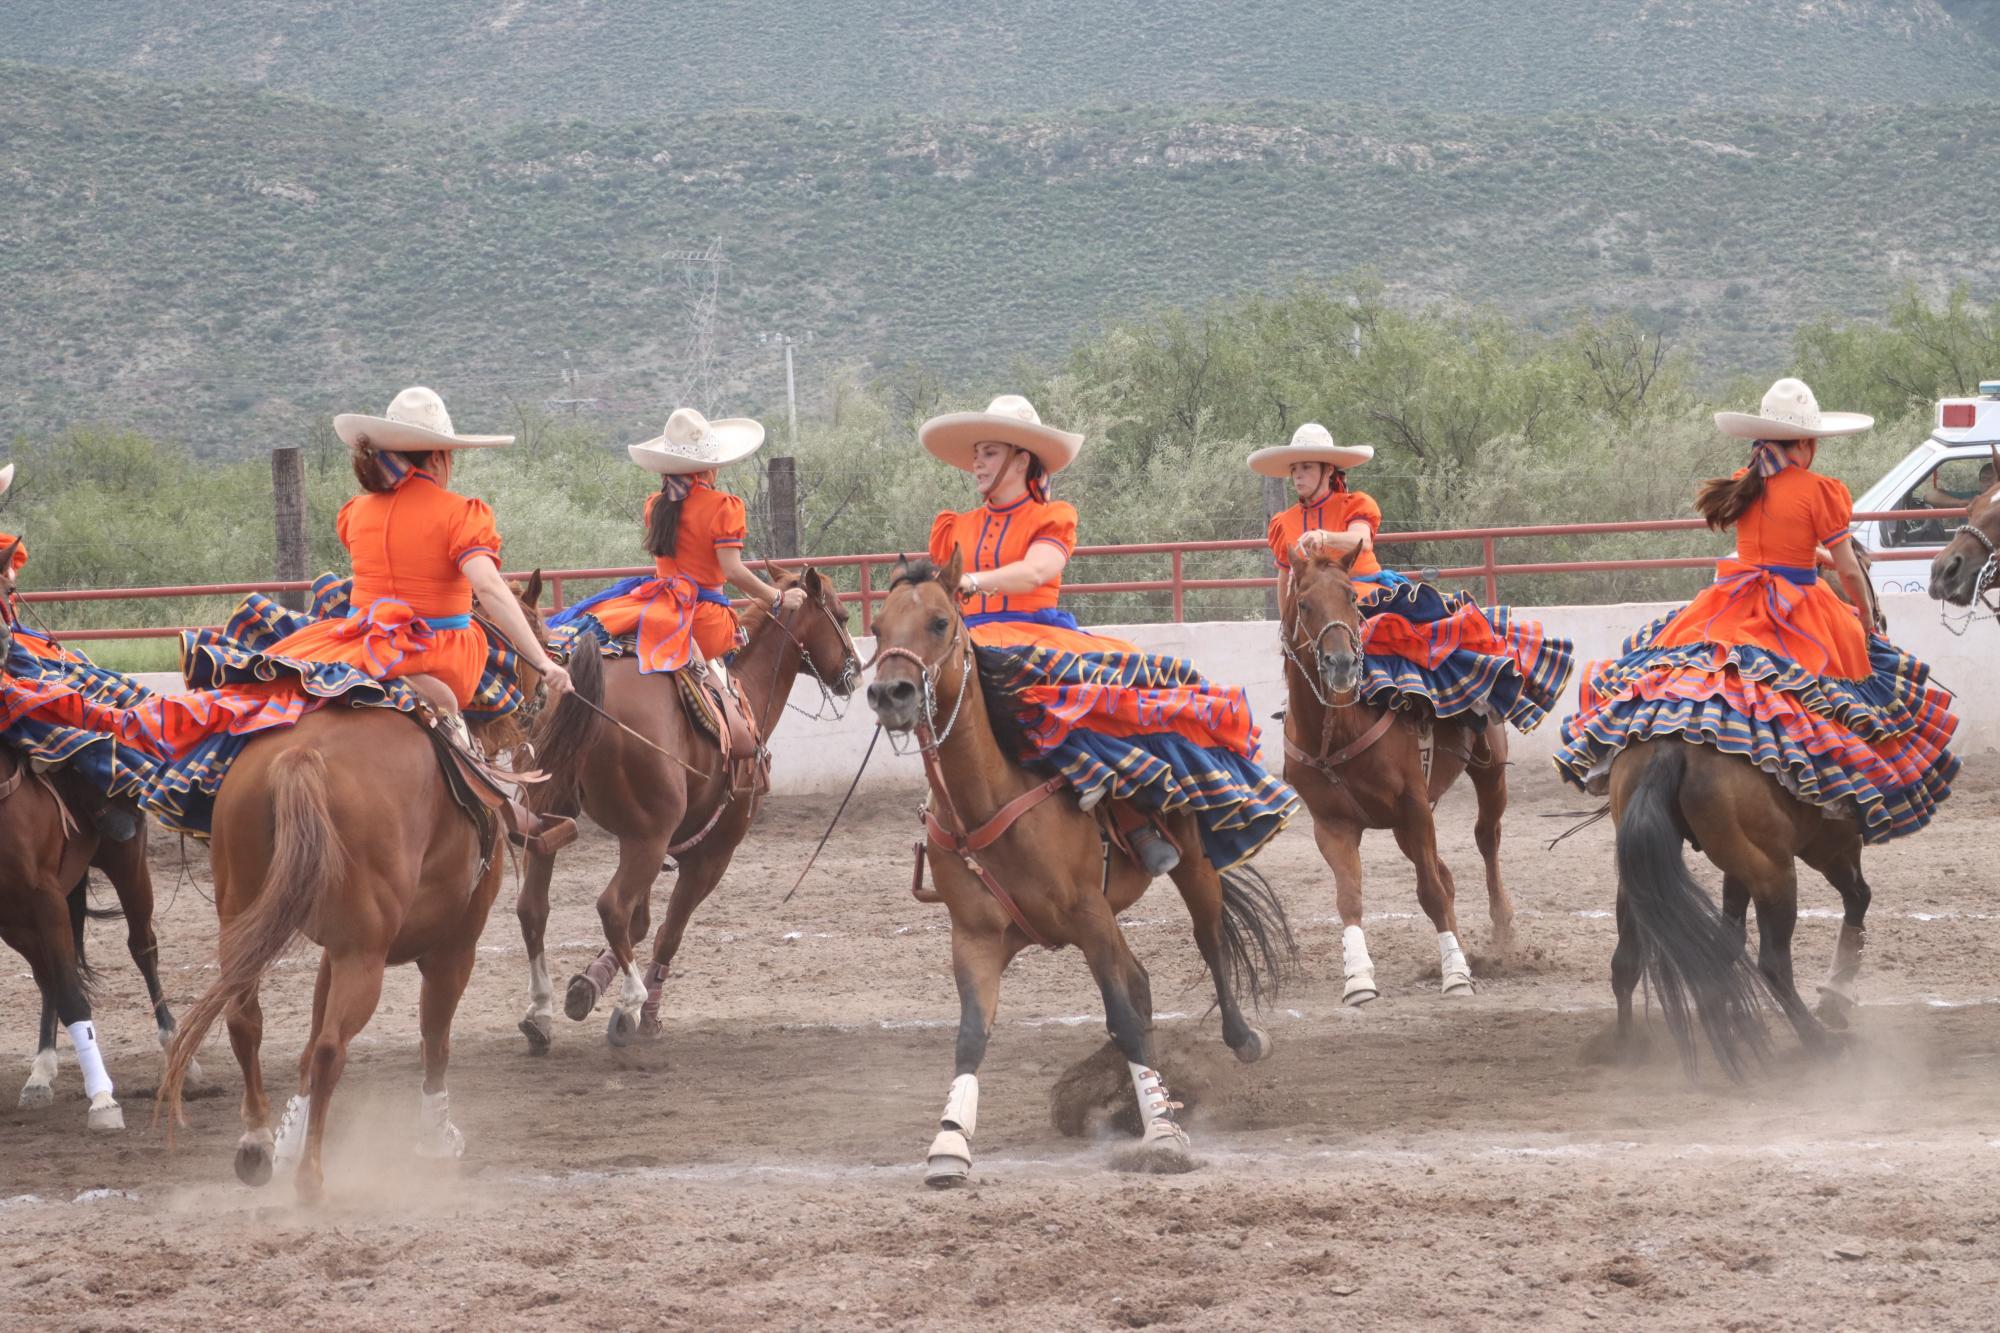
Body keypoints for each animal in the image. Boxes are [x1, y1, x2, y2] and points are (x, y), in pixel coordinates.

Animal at [156, 576, 572, 1200]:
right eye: (537, 631)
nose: (543, 698)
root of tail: (302, 756)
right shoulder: (452, 947)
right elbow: (433, 1039)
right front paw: (436, 1139)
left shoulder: (335, 950)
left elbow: (305, 1049)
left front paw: (288, 1136)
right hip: (367, 955)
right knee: (333, 1047)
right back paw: (311, 1179)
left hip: (251, 919)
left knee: (247, 1022)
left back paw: (257, 1145)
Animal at [520, 564, 856, 1040]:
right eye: (842, 617)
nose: (853, 672)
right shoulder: (710, 855)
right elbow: (668, 931)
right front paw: (648, 1014)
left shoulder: (644, 841)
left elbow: (642, 924)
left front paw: (586, 985)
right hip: (649, 839)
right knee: (612, 906)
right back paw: (631, 1004)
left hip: (553, 819)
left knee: (534, 908)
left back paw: (540, 1013)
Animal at [868, 548, 1288, 1184]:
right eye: (876, 627)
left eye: (940, 621)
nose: (889, 693)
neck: (988, 798)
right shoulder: (976, 936)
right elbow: (972, 1034)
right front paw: (950, 1142)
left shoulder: (1089, 915)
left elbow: (1123, 1015)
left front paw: (1163, 1136)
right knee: (1141, 983)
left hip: (1190, 866)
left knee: (1208, 939)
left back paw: (1240, 1040)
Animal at [1280, 544, 1512, 1000]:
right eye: (1305, 604)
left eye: (1352, 597)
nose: (1341, 663)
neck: (1336, 730)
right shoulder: (1332, 824)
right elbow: (1349, 897)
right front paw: (1357, 978)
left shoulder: (1414, 807)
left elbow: (1432, 893)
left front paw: (1456, 976)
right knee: (1447, 873)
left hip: (1490, 771)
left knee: (1486, 839)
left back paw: (1501, 933)